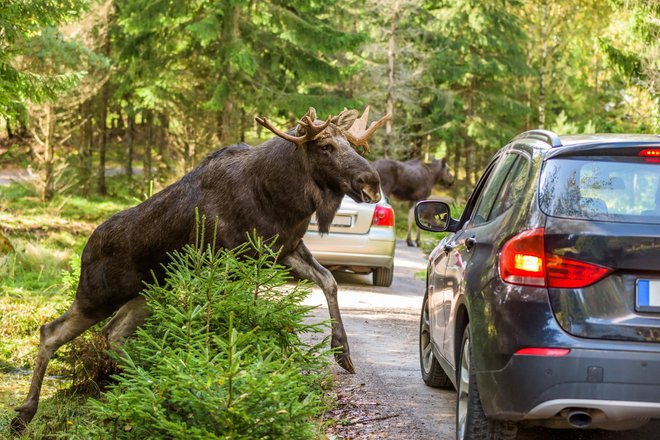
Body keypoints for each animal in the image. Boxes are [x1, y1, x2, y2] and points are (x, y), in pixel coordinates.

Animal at [10, 107, 390, 434]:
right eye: (326, 146)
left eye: (353, 145)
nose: (371, 182)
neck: (281, 199)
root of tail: (84, 250)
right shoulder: (227, 261)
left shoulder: (284, 250)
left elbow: (329, 281)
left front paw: (342, 351)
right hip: (98, 295)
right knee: (51, 332)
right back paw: (25, 414)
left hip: (146, 294)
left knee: (112, 333)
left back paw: (149, 378)